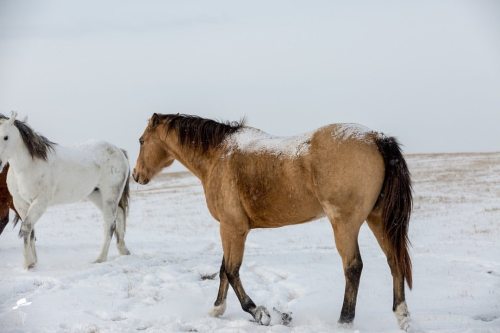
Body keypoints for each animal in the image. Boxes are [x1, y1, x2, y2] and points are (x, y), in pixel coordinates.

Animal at [0, 113, 131, 268]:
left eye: (5, 137)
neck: (27, 167)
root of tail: (119, 151)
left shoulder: (40, 202)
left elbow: (26, 228)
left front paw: (28, 263)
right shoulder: (20, 203)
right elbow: (31, 230)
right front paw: (33, 262)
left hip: (110, 196)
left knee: (110, 224)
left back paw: (100, 259)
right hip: (97, 195)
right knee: (120, 214)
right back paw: (123, 250)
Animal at [133, 113, 414, 328]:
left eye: (141, 140)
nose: (136, 175)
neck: (218, 155)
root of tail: (376, 137)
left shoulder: (232, 228)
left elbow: (232, 271)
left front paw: (259, 312)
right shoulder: (231, 229)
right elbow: (224, 269)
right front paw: (217, 309)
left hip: (345, 224)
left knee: (353, 267)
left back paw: (344, 321)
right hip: (378, 220)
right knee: (394, 261)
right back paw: (402, 316)